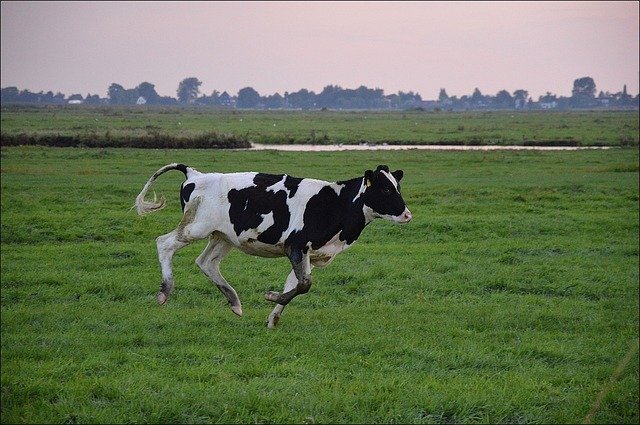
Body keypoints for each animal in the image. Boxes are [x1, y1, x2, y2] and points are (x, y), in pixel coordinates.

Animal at [135, 163, 412, 328]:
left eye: (398, 187)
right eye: (386, 190)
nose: (407, 214)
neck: (336, 202)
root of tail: (195, 174)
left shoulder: (308, 253)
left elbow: (296, 284)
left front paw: (273, 317)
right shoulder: (295, 245)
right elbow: (304, 284)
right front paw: (270, 296)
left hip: (223, 236)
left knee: (206, 263)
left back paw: (234, 302)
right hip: (196, 227)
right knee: (164, 244)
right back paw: (164, 292)